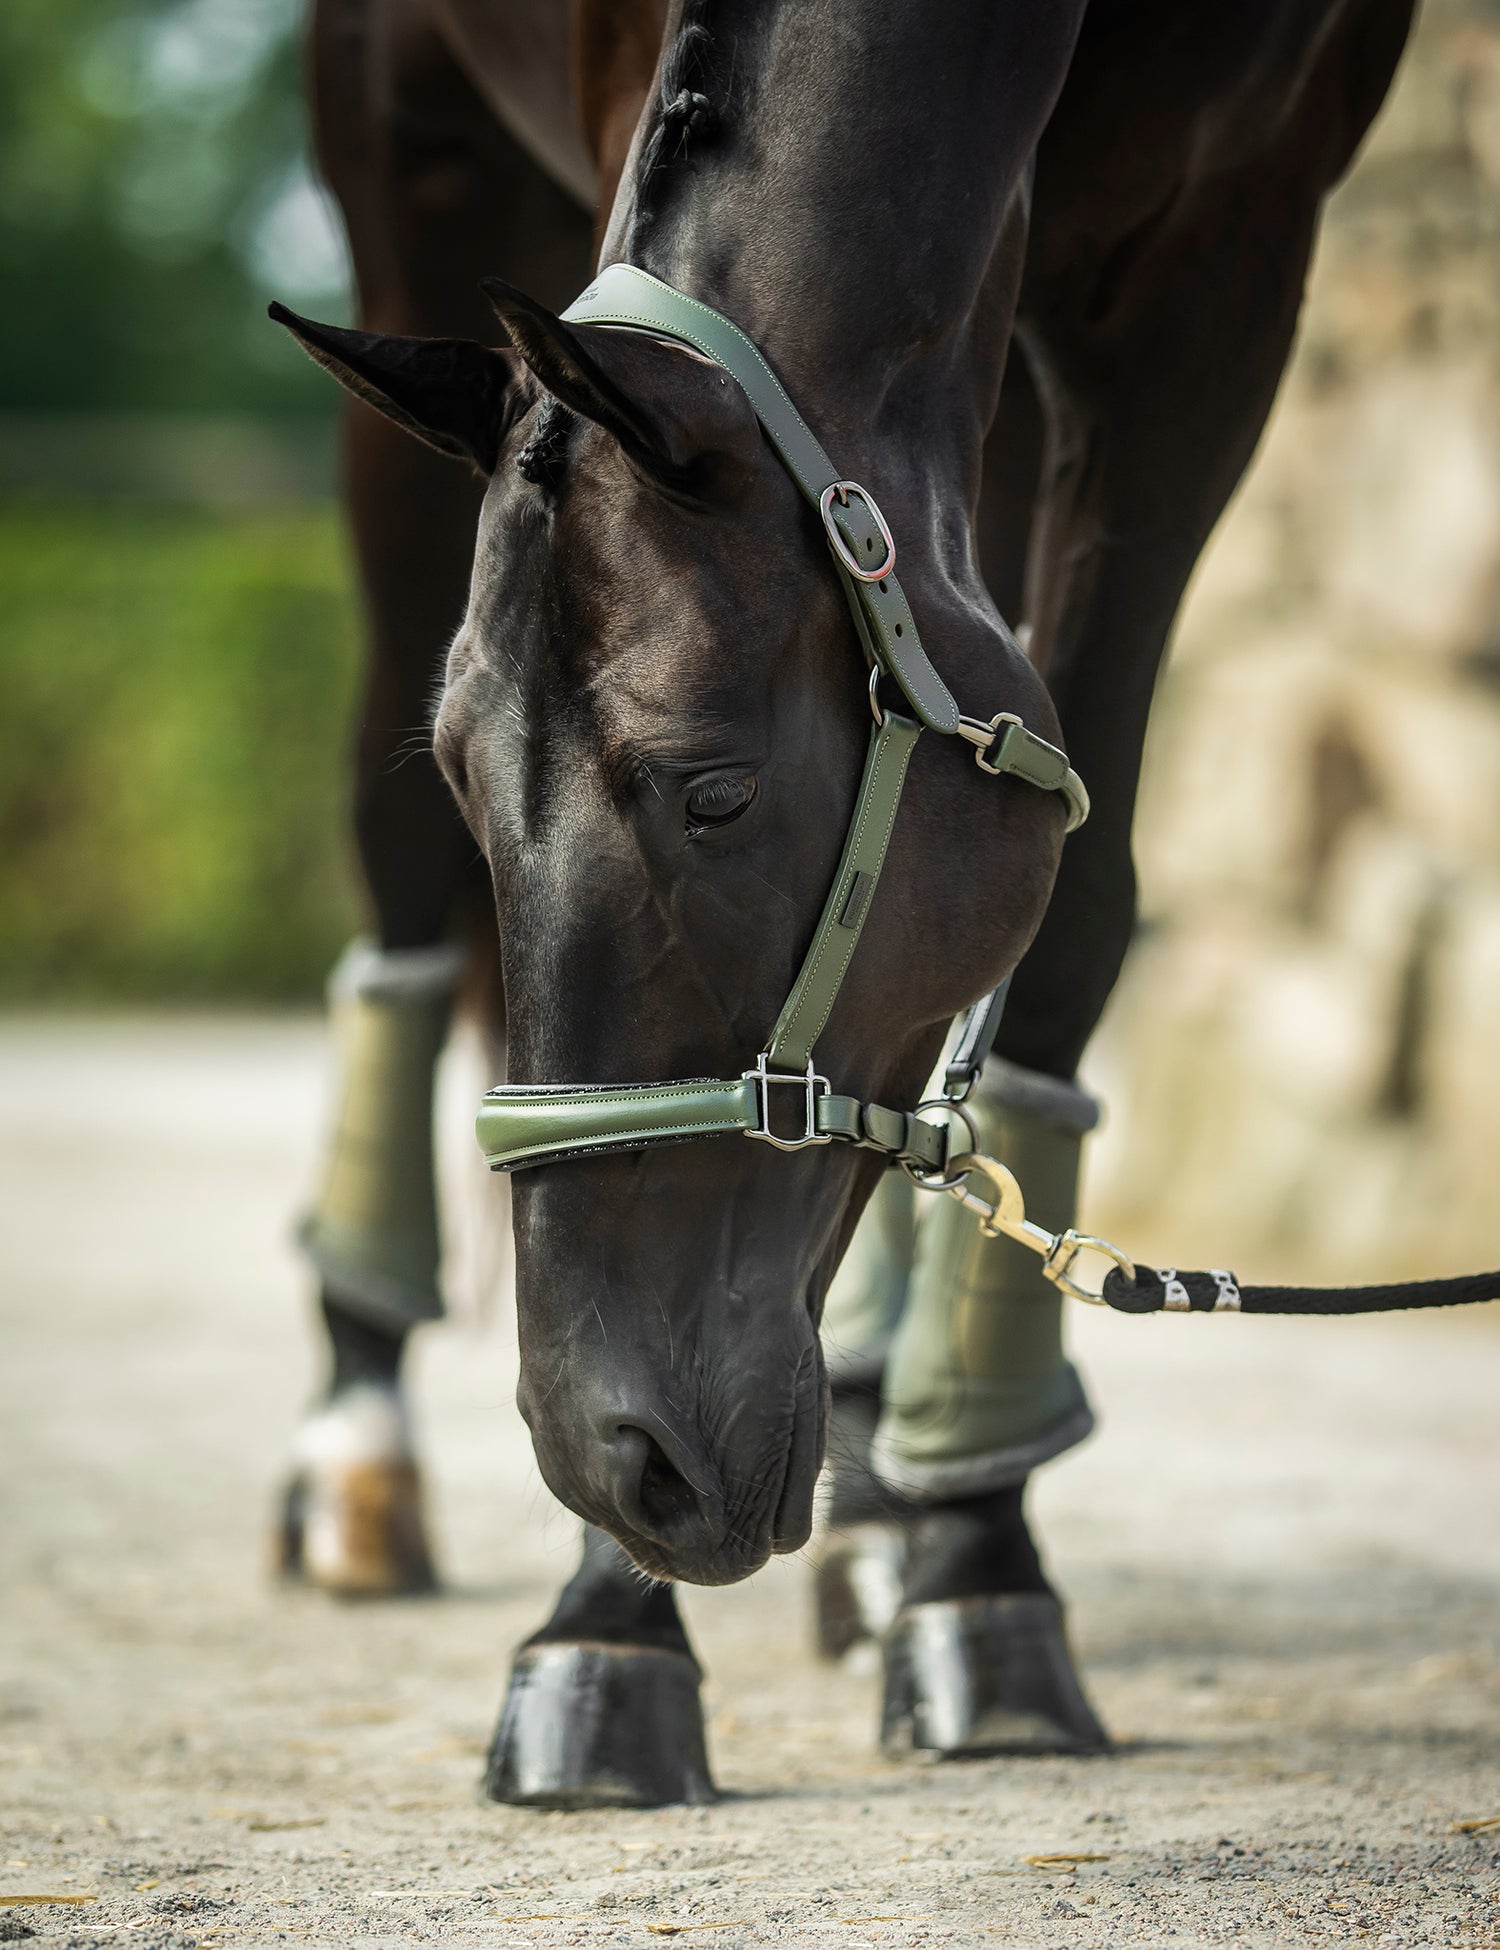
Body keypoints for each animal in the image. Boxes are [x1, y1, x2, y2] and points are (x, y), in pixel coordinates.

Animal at [273, 0, 1420, 1801]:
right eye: (469, 777)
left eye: (716, 790)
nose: (612, 1458)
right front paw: (605, 1625)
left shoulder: (1220, 268)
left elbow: (1075, 910)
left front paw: (975, 1562)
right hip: (415, 176)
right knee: (384, 875)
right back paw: (356, 1451)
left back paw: (892, 1488)